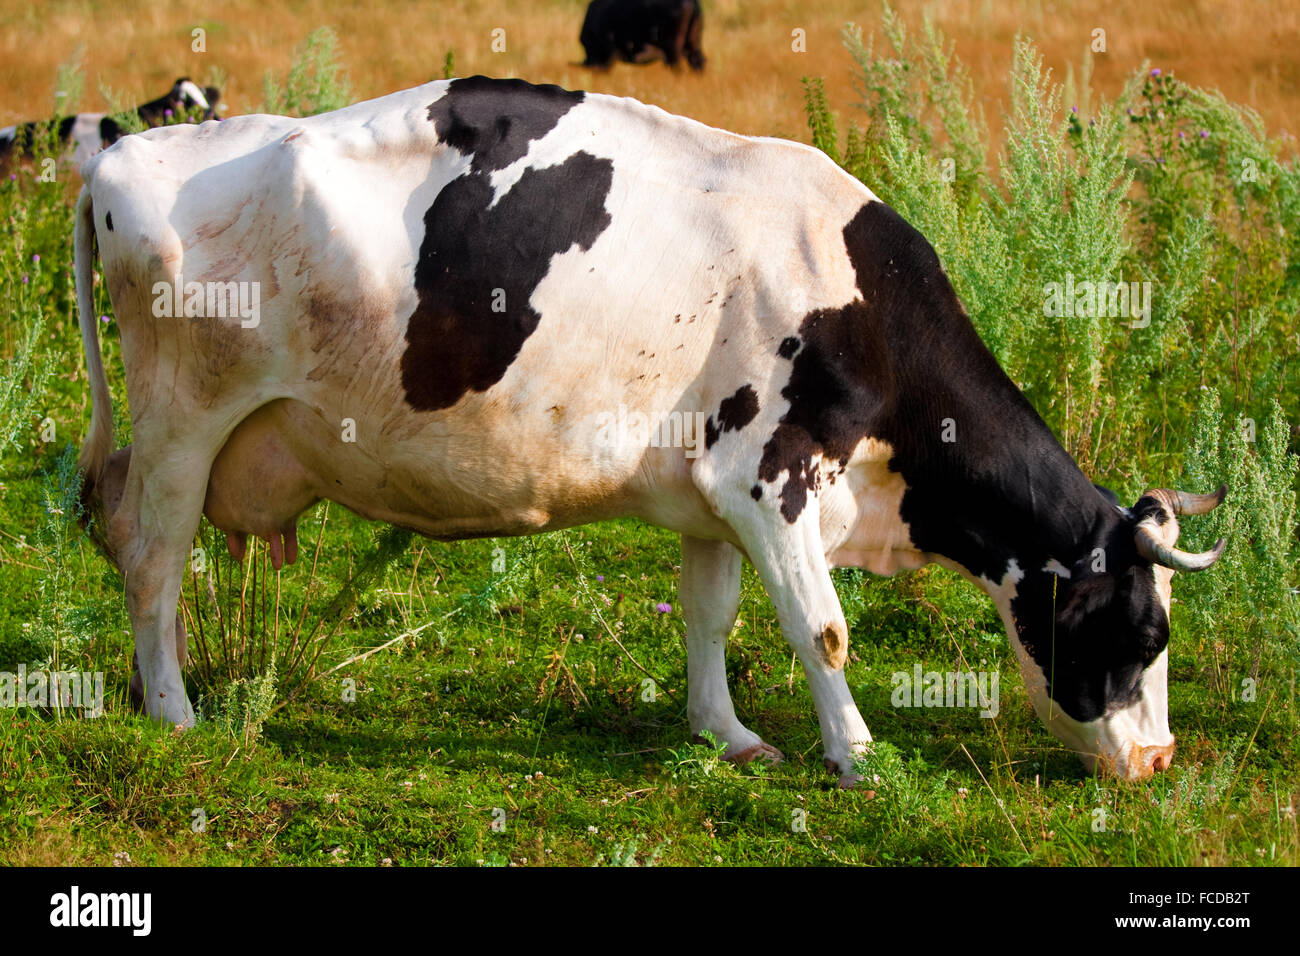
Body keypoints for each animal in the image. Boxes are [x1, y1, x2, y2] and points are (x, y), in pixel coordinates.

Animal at [73, 75, 1226, 785]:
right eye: (1146, 634)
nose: (1161, 759)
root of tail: (126, 158)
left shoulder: (714, 494)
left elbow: (710, 617)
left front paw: (726, 734)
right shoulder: (771, 477)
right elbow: (823, 628)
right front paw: (856, 754)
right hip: (181, 424)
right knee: (152, 560)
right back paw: (173, 709)